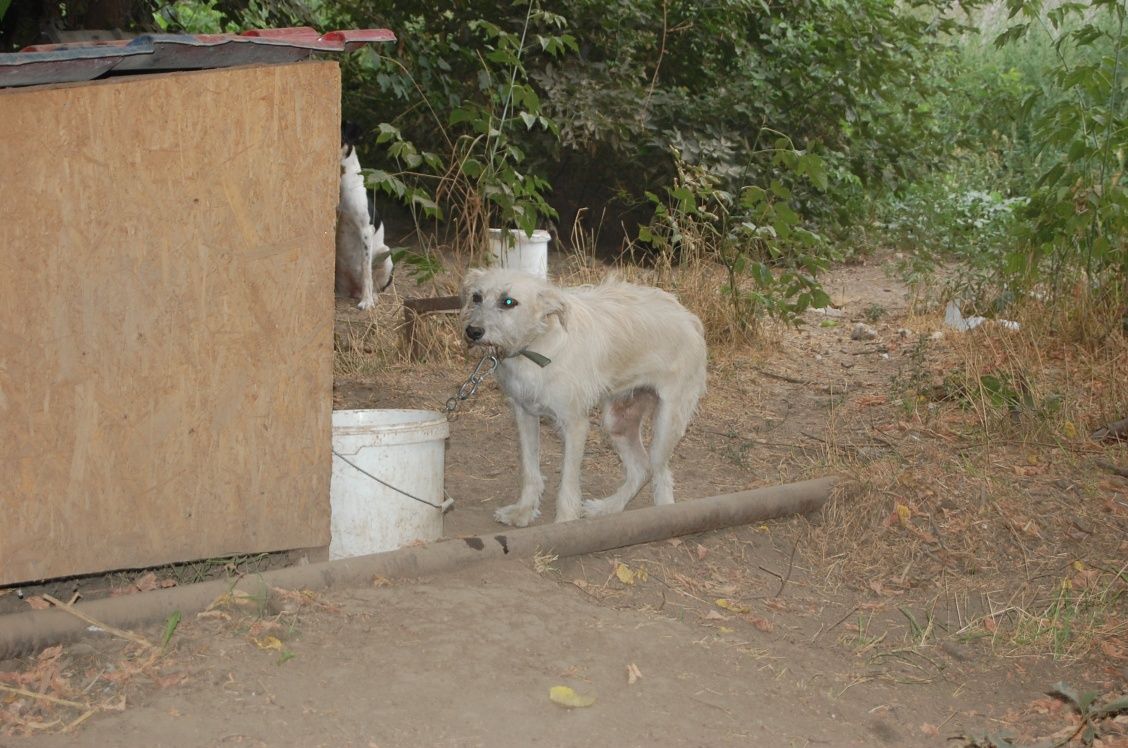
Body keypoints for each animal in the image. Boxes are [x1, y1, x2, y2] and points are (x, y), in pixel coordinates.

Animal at [331, 123, 394, 309]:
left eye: (340, 137)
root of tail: (353, 290)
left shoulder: (366, 229)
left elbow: (366, 268)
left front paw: (366, 302)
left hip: (386, 255)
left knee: (375, 285)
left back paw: (371, 296)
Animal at [457, 269, 703, 525]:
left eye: (508, 302)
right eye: (476, 297)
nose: (472, 332)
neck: (537, 345)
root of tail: (688, 317)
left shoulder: (575, 424)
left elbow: (568, 482)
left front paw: (564, 522)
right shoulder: (524, 413)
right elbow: (529, 469)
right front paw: (523, 511)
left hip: (667, 424)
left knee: (661, 473)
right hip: (618, 421)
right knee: (642, 469)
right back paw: (607, 508)